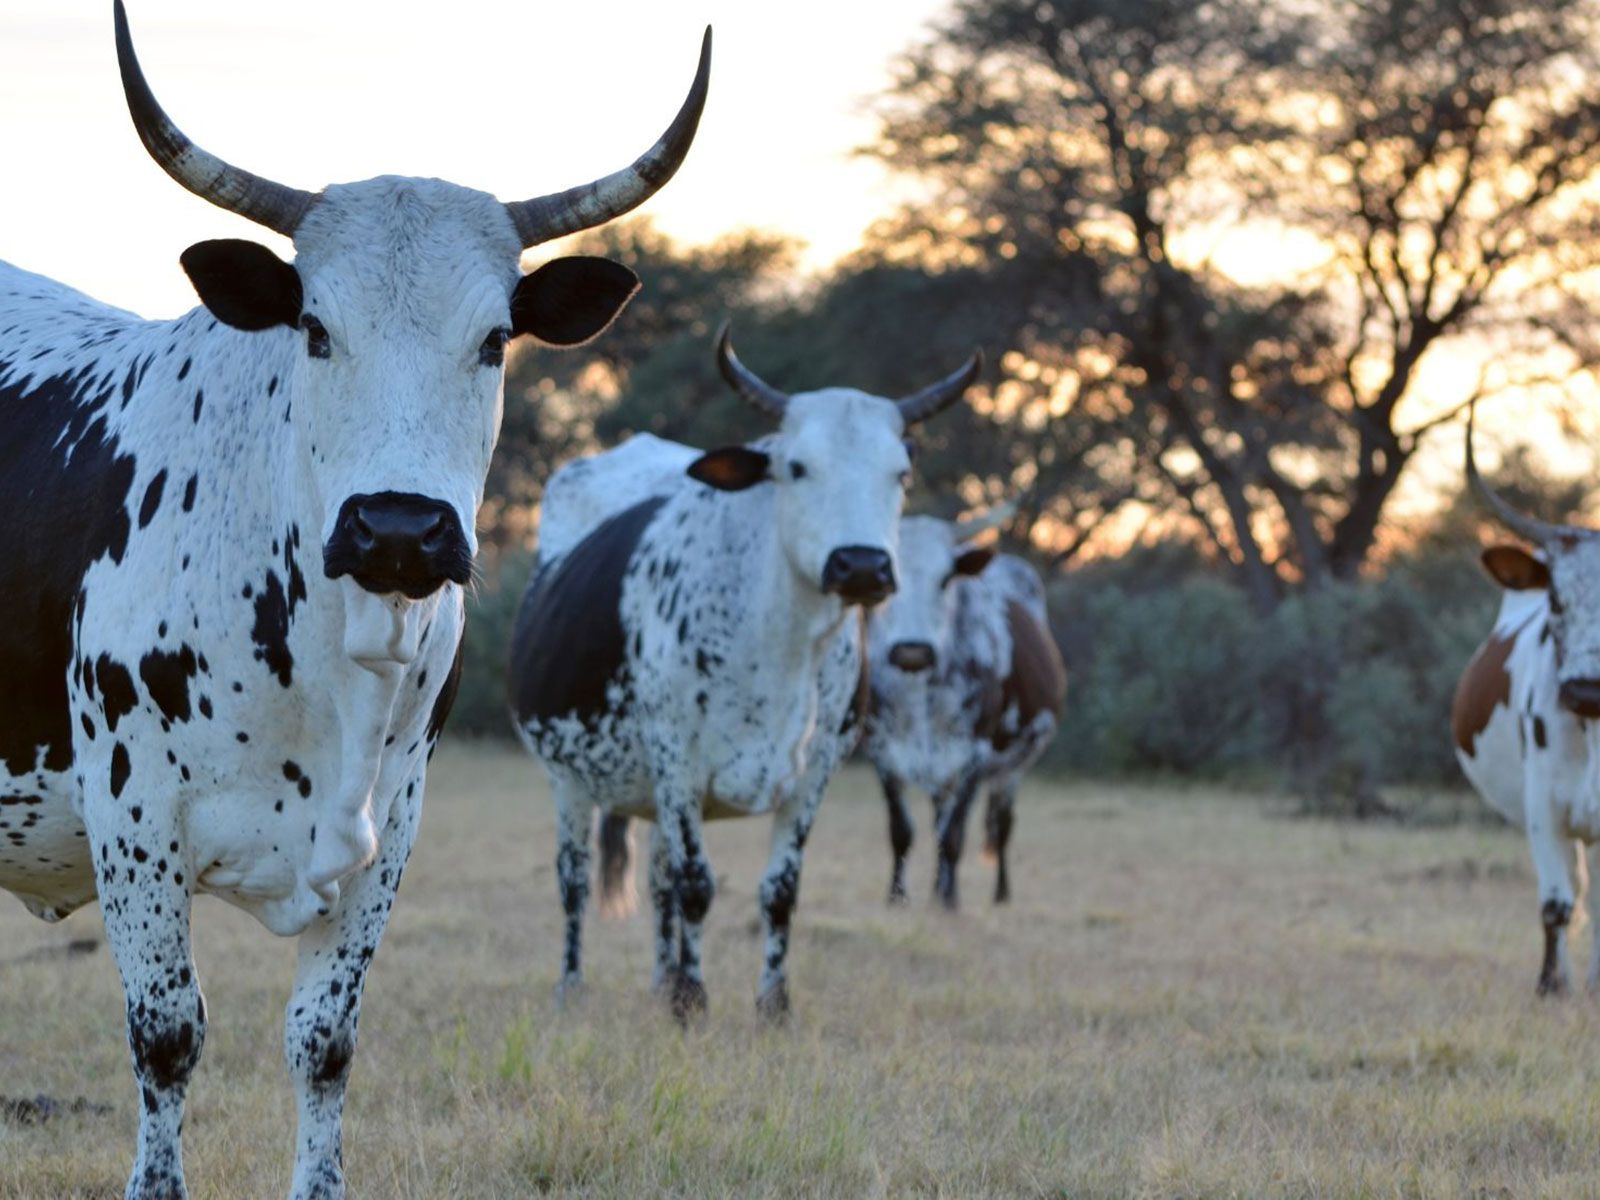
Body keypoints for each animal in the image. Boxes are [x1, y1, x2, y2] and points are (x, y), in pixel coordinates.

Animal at [0, 6, 708, 1198]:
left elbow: (324, 1044)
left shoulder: (391, 836)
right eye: (316, 329)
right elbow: (166, 1038)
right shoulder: (133, 826)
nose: (399, 531)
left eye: (495, 339)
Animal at [509, 327, 980, 1021]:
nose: (862, 566)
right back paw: (574, 987)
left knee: (657, 879)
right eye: (797, 467)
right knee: (575, 880)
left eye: (901, 472)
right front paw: (693, 1000)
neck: (779, 643)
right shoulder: (676, 757)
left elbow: (778, 890)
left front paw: (771, 1004)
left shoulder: (817, 769)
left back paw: (659, 980)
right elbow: (697, 885)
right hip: (567, 777)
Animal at [863, 510, 1065, 908]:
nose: (912, 650)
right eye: (888, 578)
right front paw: (897, 897)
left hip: (1013, 767)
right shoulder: (882, 750)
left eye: (946, 579)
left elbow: (954, 834)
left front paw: (949, 900)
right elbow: (901, 830)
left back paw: (999, 893)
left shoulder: (974, 753)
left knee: (1001, 824)